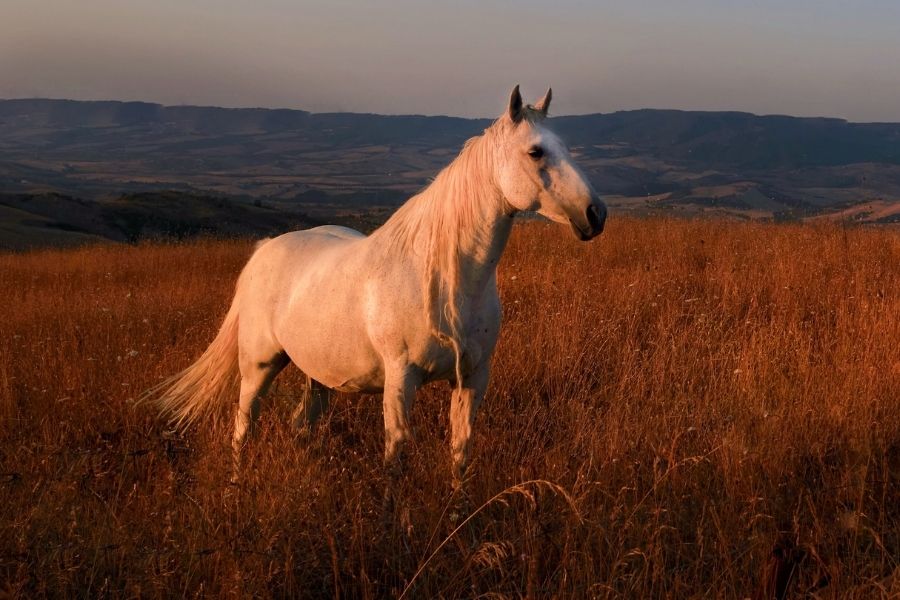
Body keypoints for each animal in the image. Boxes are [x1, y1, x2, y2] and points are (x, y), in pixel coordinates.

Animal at [151, 85, 608, 488]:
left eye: (566, 147)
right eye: (535, 151)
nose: (595, 214)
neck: (445, 281)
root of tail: (263, 250)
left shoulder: (473, 377)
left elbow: (461, 451)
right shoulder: (400, 377)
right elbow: (396, 453)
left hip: (319, 374)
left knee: (302, 424)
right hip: (259, 365)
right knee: (244, 427)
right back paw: (236, 486)